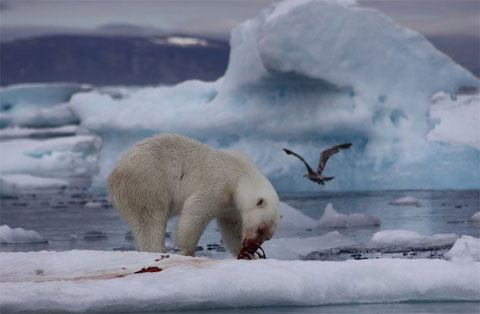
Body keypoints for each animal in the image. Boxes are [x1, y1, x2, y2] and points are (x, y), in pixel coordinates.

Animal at [108, 132, 282, 255]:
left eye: (267, 236)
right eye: (260, 228)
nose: (252, 247)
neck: (241, 172)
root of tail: (113, 174)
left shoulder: (231, 206)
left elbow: (231, 228)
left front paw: (245, 254)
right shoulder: (219, 183)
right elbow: (195, 212)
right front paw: (187, 251)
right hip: (147, 185)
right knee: (150, 221)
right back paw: (157, 251)